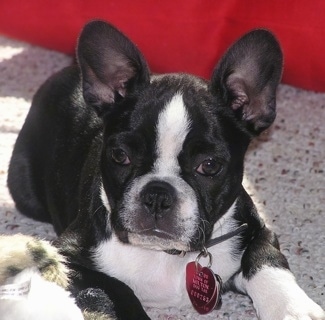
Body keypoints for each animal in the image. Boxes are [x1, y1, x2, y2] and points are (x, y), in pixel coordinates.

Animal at [7, 20, 324, 320]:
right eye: (120, 156)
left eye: (210, 165)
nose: (157, 194)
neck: (167, 253)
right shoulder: (64, 256)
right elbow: (117, 287)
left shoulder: (258, 229)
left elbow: (266, 260)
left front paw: (294, 308)